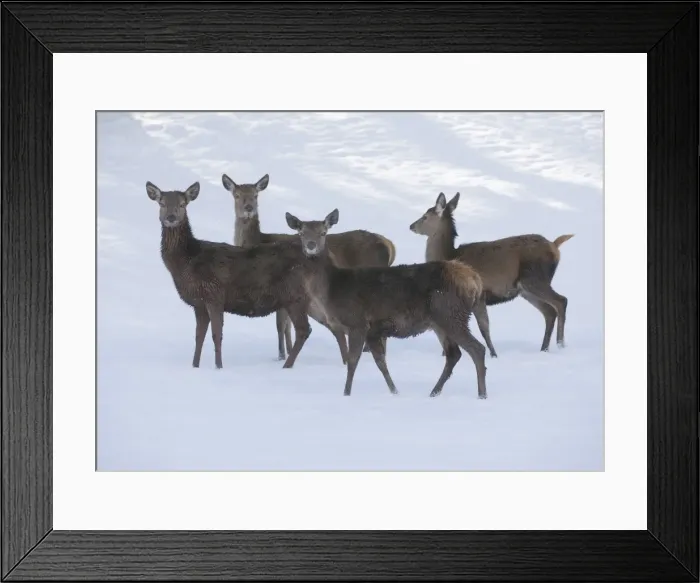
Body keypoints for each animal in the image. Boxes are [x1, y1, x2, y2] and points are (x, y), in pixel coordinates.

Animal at [145, 180, 349, 370]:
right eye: (162, 203)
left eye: (182, 204)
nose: (171, 217)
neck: (187, 261)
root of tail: (320, 258)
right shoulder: (199, 303)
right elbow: (198, 337)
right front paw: (195, 366)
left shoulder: (214, 294)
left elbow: (216, 335)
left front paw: (219, 367)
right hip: (309, 299)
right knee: (333, 325)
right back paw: (344, 363)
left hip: (294, 295)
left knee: (304, 329)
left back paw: (287, 366)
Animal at [222, 172, 397, 361]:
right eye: (236, 195)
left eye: (256, 195)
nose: (248, 208)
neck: (259, 242)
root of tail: (389, 245)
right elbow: (286, 326)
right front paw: (287, 352)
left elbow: (281, 325)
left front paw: (282, 355)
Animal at [285, 208, 488, 399]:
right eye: (301, 232)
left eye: (323, 232)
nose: (311, 246)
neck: (333, 289)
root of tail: (474, 279)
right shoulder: (373, 331)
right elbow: (381, 362)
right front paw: (394, 391)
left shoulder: (357, 322)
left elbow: (352, 361)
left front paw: (346, 394)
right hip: (440, 322)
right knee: (454, 354)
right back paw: (434, 392)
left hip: (451, 314)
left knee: (477, 349)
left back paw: (481, 394)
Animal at [409, 192, 574, 354]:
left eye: (425, 216)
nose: (411, 226)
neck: (449, 256)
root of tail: (554, 246)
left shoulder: (479, 296)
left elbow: (484, 328)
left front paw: (494, 354)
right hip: (526, 289)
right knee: (549, 311)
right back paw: (544, 348)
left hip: (534, 278)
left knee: (561, 301)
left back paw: (560, 344)